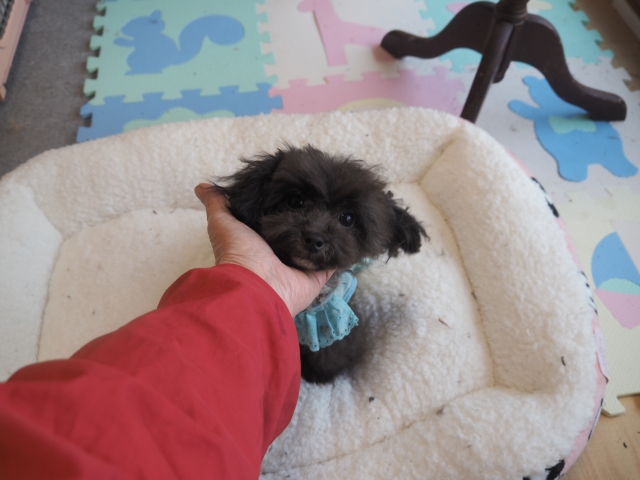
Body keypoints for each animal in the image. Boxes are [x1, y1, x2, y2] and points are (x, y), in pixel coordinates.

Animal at [212, 145, 427, 383]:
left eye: (348, 218)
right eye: (295, 201)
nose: (314, 238)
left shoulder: (331, 319)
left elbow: (328, 350)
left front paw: (320, 374)